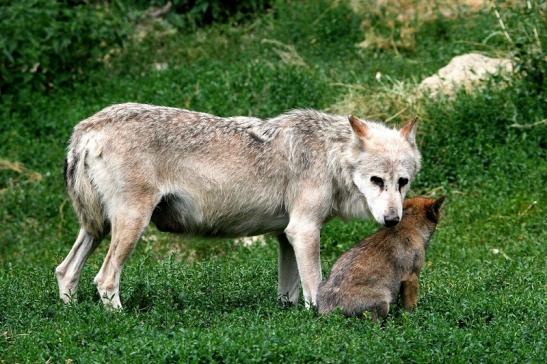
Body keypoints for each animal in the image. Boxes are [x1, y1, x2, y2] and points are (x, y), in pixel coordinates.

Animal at [55, 103, 422, 310]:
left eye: (402, 182)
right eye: (377, 180)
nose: (393, 220)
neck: (331, 156)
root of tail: (86, 128)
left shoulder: (285, 236)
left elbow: (289, 293)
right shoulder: (303, 231)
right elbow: (315, 287)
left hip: (98, 227)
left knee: (65, 270)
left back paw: (71, 315)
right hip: (130, 224)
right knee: (104, 279)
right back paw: (121, 320)